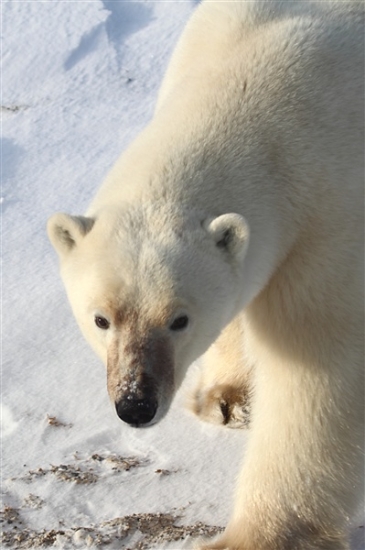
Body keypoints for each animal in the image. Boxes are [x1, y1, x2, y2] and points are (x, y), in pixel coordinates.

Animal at [47, 1, 362, 550]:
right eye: (101, 319)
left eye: (179, 320)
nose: (136, 405)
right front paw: (229, 399)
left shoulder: (330, 213)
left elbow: (314, 368)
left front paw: (256, 536)